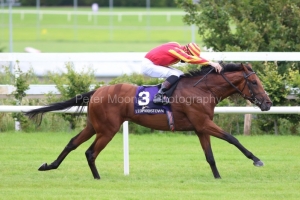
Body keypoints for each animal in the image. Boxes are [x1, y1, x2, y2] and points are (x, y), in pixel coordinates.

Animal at [24, 61, 272, 179]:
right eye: (255, 82)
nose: (268, 103)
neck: (203, 89)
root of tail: (97, 91)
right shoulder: (203, 123)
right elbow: (232, 138)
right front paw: (257, 159)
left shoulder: (200, 127)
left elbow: (210, 156)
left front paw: (218, 177)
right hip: (108, 129)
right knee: (90, 152)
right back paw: (97, 178)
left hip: (94, 125)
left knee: (72, 144)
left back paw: (49, 165)